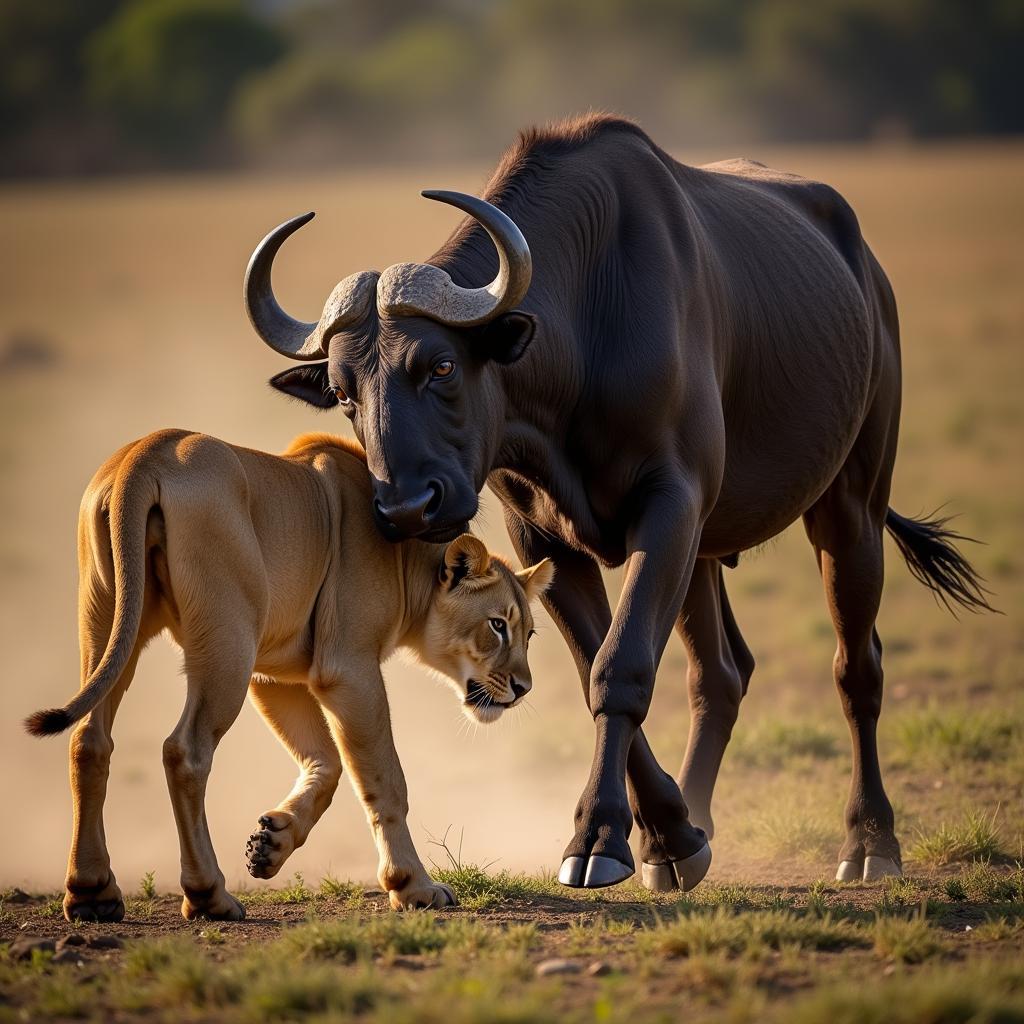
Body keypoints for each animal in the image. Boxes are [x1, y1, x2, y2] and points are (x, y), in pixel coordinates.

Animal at [24, 428, 552, 925]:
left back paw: (91, 893)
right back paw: (208, 895)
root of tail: (147, 452)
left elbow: (329, 763)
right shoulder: (348, 669)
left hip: (110, 623)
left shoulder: (275, 673)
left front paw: (270, 843)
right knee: (185, 751)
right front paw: (413, 887)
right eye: (497, 625)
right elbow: (386, 781)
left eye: (528, 633)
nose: (524, 688)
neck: (407, 560)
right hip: (228, 639)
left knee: (89, 740)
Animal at [243, 114, 987, 888]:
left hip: (852, 505)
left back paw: (870, 842)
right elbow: (592, 667)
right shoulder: (545, 539)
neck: (584, 340)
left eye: (441, 365)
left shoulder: (669, 507)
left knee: (857, 666)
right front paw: (670, 838)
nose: (407, 509)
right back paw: (699, 817)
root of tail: (866, 269)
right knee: (722, 672)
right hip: (708, 553)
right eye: (344, 392)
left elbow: (621, 667)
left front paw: (599, 837)